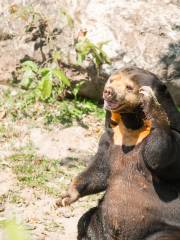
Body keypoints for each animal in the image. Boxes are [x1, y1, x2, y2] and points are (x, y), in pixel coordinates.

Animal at [57, 67, 180, 240]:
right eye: (111, 80)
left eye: (129, 87)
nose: (108, 92)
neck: (132, 126)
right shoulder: (110, 138)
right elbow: (99, 170)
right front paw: (66, 196)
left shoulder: (176, 135)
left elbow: (160, 156)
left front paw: (152, 104)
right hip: (101, 219)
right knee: (86, 222)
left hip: (166, 227)